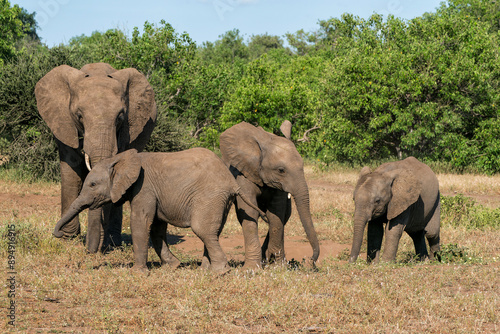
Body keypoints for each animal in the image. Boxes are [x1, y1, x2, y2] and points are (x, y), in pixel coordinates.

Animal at [35, 62, 156, 253]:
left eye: (120, 117)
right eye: (79, 116)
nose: (91, 251)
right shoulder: (63, 123)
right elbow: (71, 169)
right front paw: (67, 239)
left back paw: (113, 242)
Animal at [52, 149, 268, 274]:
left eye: (93, 184)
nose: (58, 234)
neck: (121, 159)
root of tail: (232, 181)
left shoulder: (143, 187)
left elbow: (141, 222)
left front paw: (138, 273)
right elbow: (156, 227)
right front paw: (173, 266)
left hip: (210, 196)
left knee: (203, 230)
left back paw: (220, 272)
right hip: (220, 200)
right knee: (212, 232)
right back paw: (206, 270)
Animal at [219, 120, 320, 268]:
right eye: (281, 170)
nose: (311, 259)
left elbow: (276, 214)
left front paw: (278, 266)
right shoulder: (243, 172)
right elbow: (249, 211)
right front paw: (252, 268)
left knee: (285, 215)